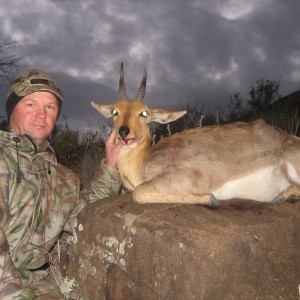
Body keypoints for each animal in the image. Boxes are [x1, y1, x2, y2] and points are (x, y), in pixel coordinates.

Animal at [91, 62, 300, 205]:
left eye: (144, 113)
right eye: (115, 111)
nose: (123, 132)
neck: (142, 161)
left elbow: (138, 193)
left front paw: (210, 199)